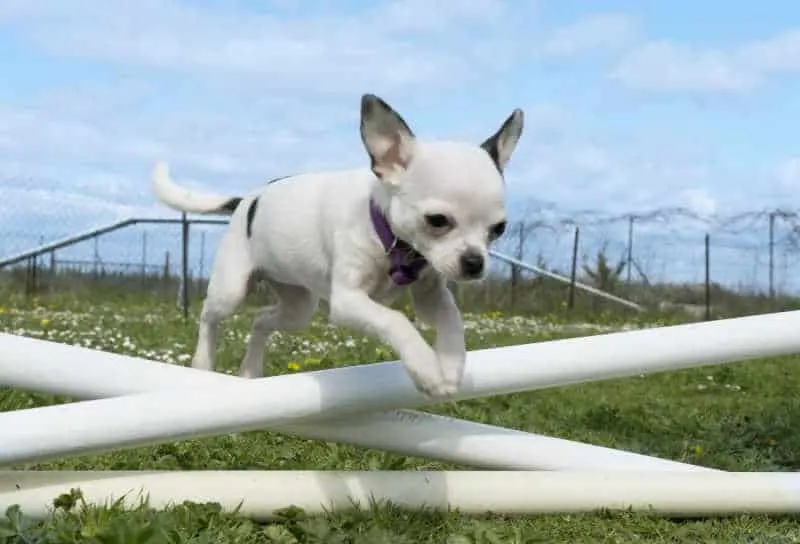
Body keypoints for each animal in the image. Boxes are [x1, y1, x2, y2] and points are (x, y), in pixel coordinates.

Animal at [152, 93, 520, 398]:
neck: (390, 239)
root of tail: (247, 200)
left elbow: (452, 319)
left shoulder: (432, 294)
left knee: (260, 321)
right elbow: (395, 321)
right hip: (231, 290)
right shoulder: (348, 300)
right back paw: (203, 360)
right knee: (209, 317)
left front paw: (451, 365)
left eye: (498, 229)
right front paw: (427, 369)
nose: (474, 262)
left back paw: (250, 369)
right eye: (438, 220)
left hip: (298, 308)